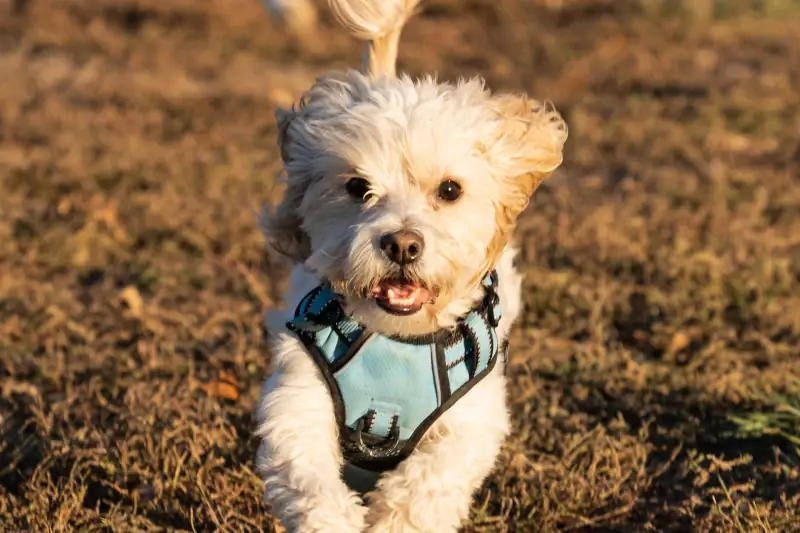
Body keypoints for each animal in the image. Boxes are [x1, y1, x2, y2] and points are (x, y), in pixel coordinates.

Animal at [253, 2, 564, 528]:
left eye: (450, 190)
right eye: (358, 186)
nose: (401, 245)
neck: (398, 342)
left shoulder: (473, 417)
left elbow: (429, 484)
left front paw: (395, 519)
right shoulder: (298, 397)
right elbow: (307, 475)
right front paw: (334, 521)